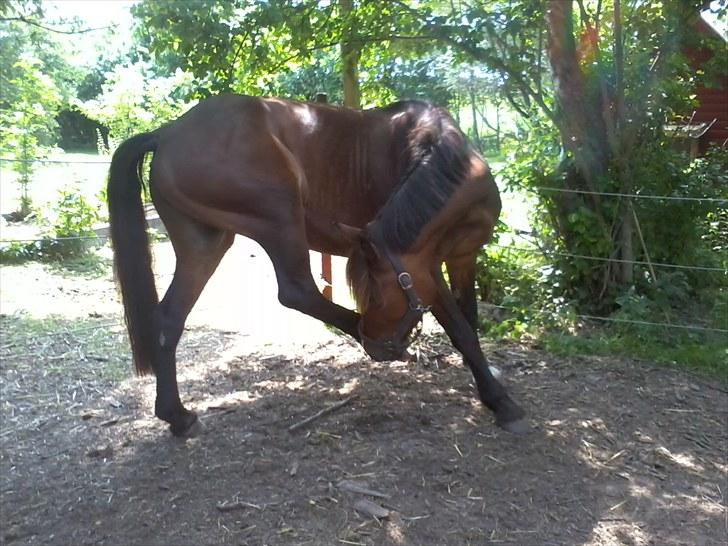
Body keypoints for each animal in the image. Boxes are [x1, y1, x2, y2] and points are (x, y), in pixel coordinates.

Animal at [108, 93, 528, 434]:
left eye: (379, 296)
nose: (376, 345)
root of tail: (168, 131)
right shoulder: (426, 269)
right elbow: (459, 326)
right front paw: (500, 401)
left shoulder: (461, 259)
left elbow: (468, 317)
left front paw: (485, 380)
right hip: (279, 211)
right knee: (298, 292)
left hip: (205, 243)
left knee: (169, 318)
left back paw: (177, 417)